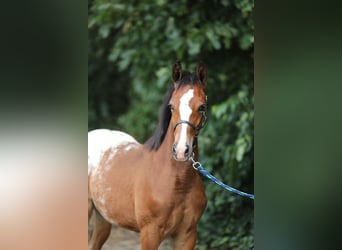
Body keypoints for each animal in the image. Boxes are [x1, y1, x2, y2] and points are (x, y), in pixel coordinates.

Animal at [88, 61, 207, 250]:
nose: (181, 151)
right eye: (171, 106)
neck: (177, 183)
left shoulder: (187, 235)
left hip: (103, 219)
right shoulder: (150, 233)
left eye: (202, 106)